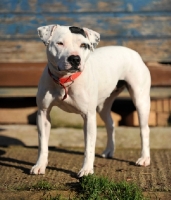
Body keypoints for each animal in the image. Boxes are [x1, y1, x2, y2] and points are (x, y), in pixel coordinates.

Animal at [30, 24, 151, 177]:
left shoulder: (89, 117)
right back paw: (109, 151)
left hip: (140, 100)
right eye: (60, 43)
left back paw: (144, 158)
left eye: (83, 45)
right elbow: (42, 144)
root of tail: (134, 52)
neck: (65, 80)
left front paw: (86, 169)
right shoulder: (43, 113)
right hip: (103, 106)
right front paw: (40, 165)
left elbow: (89, 147)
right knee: (110, 124)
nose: (75, 59)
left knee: (144, 129)